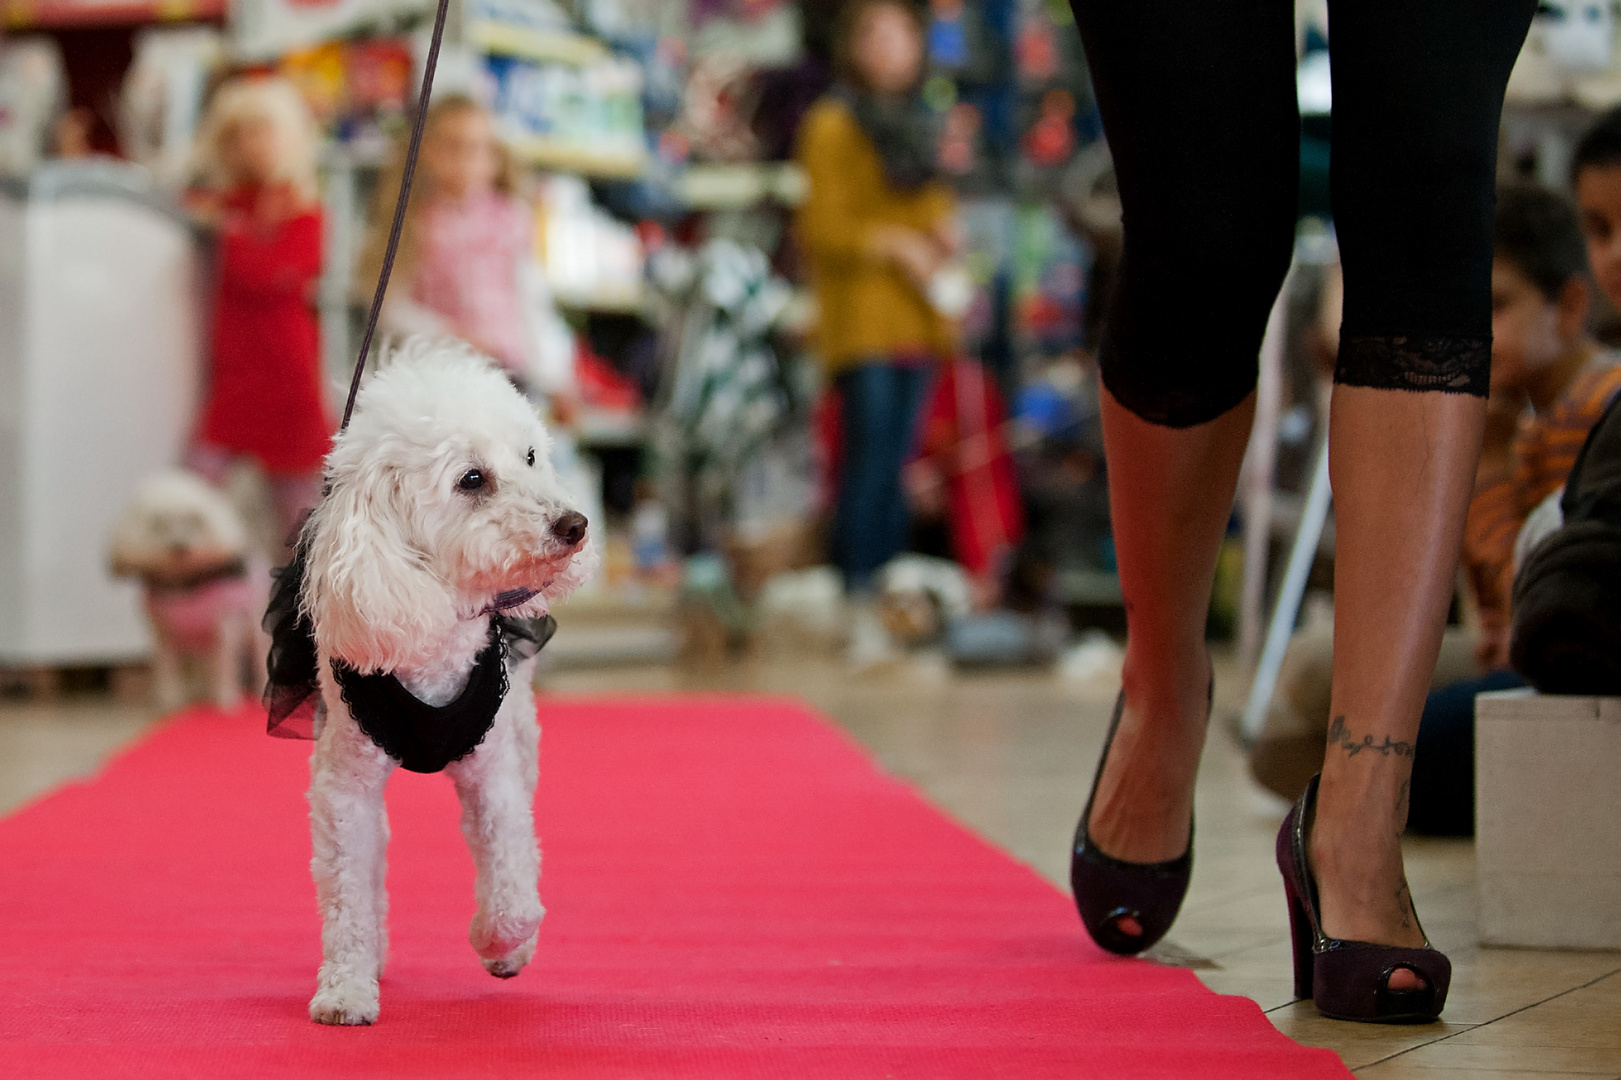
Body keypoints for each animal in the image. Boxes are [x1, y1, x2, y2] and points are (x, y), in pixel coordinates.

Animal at [109, 470, 272, 707]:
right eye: (159, 524)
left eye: (195, 521)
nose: (179, 547)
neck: (183, 585)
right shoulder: (163, 638)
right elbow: (168, 672)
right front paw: (170, 700)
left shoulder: (223, 632)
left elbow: (223, 669)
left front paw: (224, 701)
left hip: (255, 633)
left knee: (258, 662)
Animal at [269, 340, 599, 1024]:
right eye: (471, 479)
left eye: (531, 456)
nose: (576, 524)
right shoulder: (344, 788)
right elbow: (347, 892)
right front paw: (346, 987)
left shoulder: (492, 777)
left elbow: (515, 886)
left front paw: (498, 945)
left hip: (520, 735)